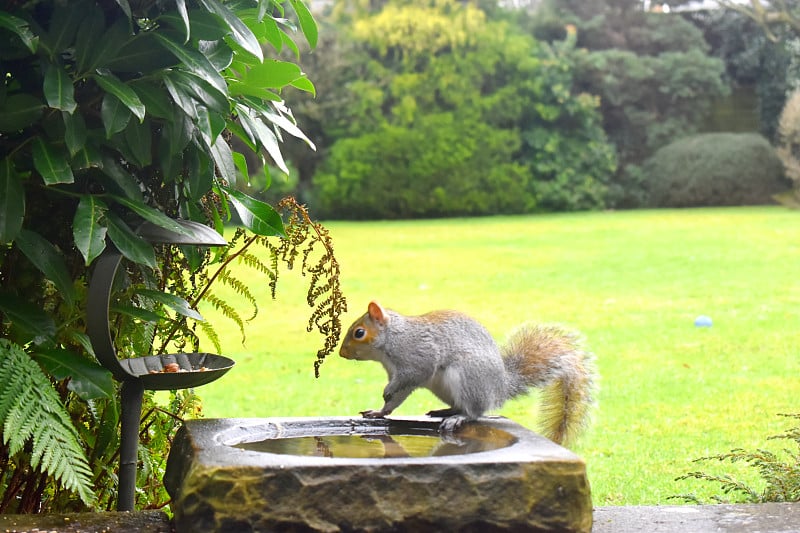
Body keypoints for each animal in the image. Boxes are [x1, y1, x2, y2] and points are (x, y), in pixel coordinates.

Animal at [338, 300, 592, 444]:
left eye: (359, 333)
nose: (342, 353)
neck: (392, 338)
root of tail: (500, 388)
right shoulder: (395, 372)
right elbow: (395, 400)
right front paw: (379, 412)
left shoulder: (417, 358)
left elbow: (408, 380)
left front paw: (385, 394)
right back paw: (446, 411)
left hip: (468, 378)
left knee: (475, 412)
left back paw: (459, 417)